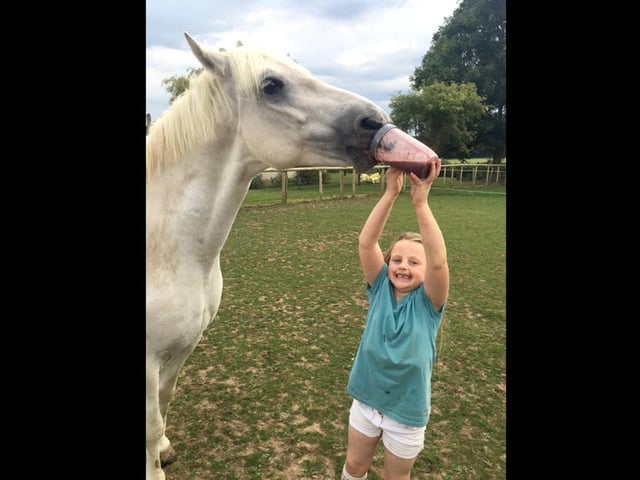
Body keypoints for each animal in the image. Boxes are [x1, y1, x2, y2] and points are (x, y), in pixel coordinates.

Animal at [146, 32, 390, 480]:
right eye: (271, 85)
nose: (375, 121)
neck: (168, 250)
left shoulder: (183, 347)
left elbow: (165, 404)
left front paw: (166, 449)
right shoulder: (148, 358)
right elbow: (151, 425)